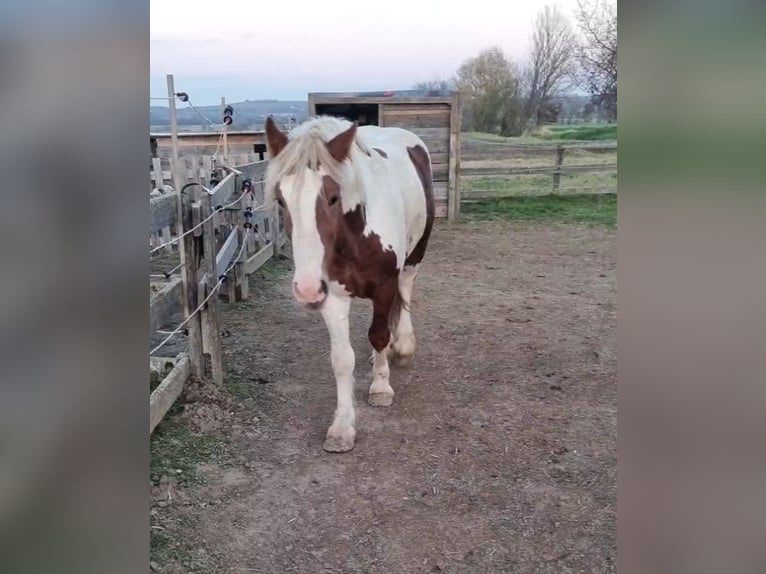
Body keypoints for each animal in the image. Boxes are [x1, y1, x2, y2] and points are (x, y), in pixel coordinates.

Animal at [263, 115, 435, 452]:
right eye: (281, 200)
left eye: (333, 197)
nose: (306, 289)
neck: (357, 233)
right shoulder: (331, 296)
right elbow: (342, 360)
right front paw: (342, 427)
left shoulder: (385, 286)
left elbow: (378, 334)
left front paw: (381, 387)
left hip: (414, 256)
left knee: (406, 291)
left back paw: (402, 346)